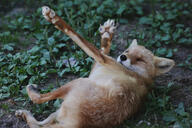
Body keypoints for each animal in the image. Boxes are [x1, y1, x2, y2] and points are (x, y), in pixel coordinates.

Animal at [15, 6, 175, 128]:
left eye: (140, 59)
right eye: (127, 51)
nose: (122, 57)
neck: (141, 76)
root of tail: (78, 124)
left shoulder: (104, 61)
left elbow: (80, 39)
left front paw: (55, 19)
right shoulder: (101, 64)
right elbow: (101, 49)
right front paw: (107, 35)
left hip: (77, 82)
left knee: (38, 100)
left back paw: (32, 91)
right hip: (58, 112)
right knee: (36, 125)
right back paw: (24, 114)